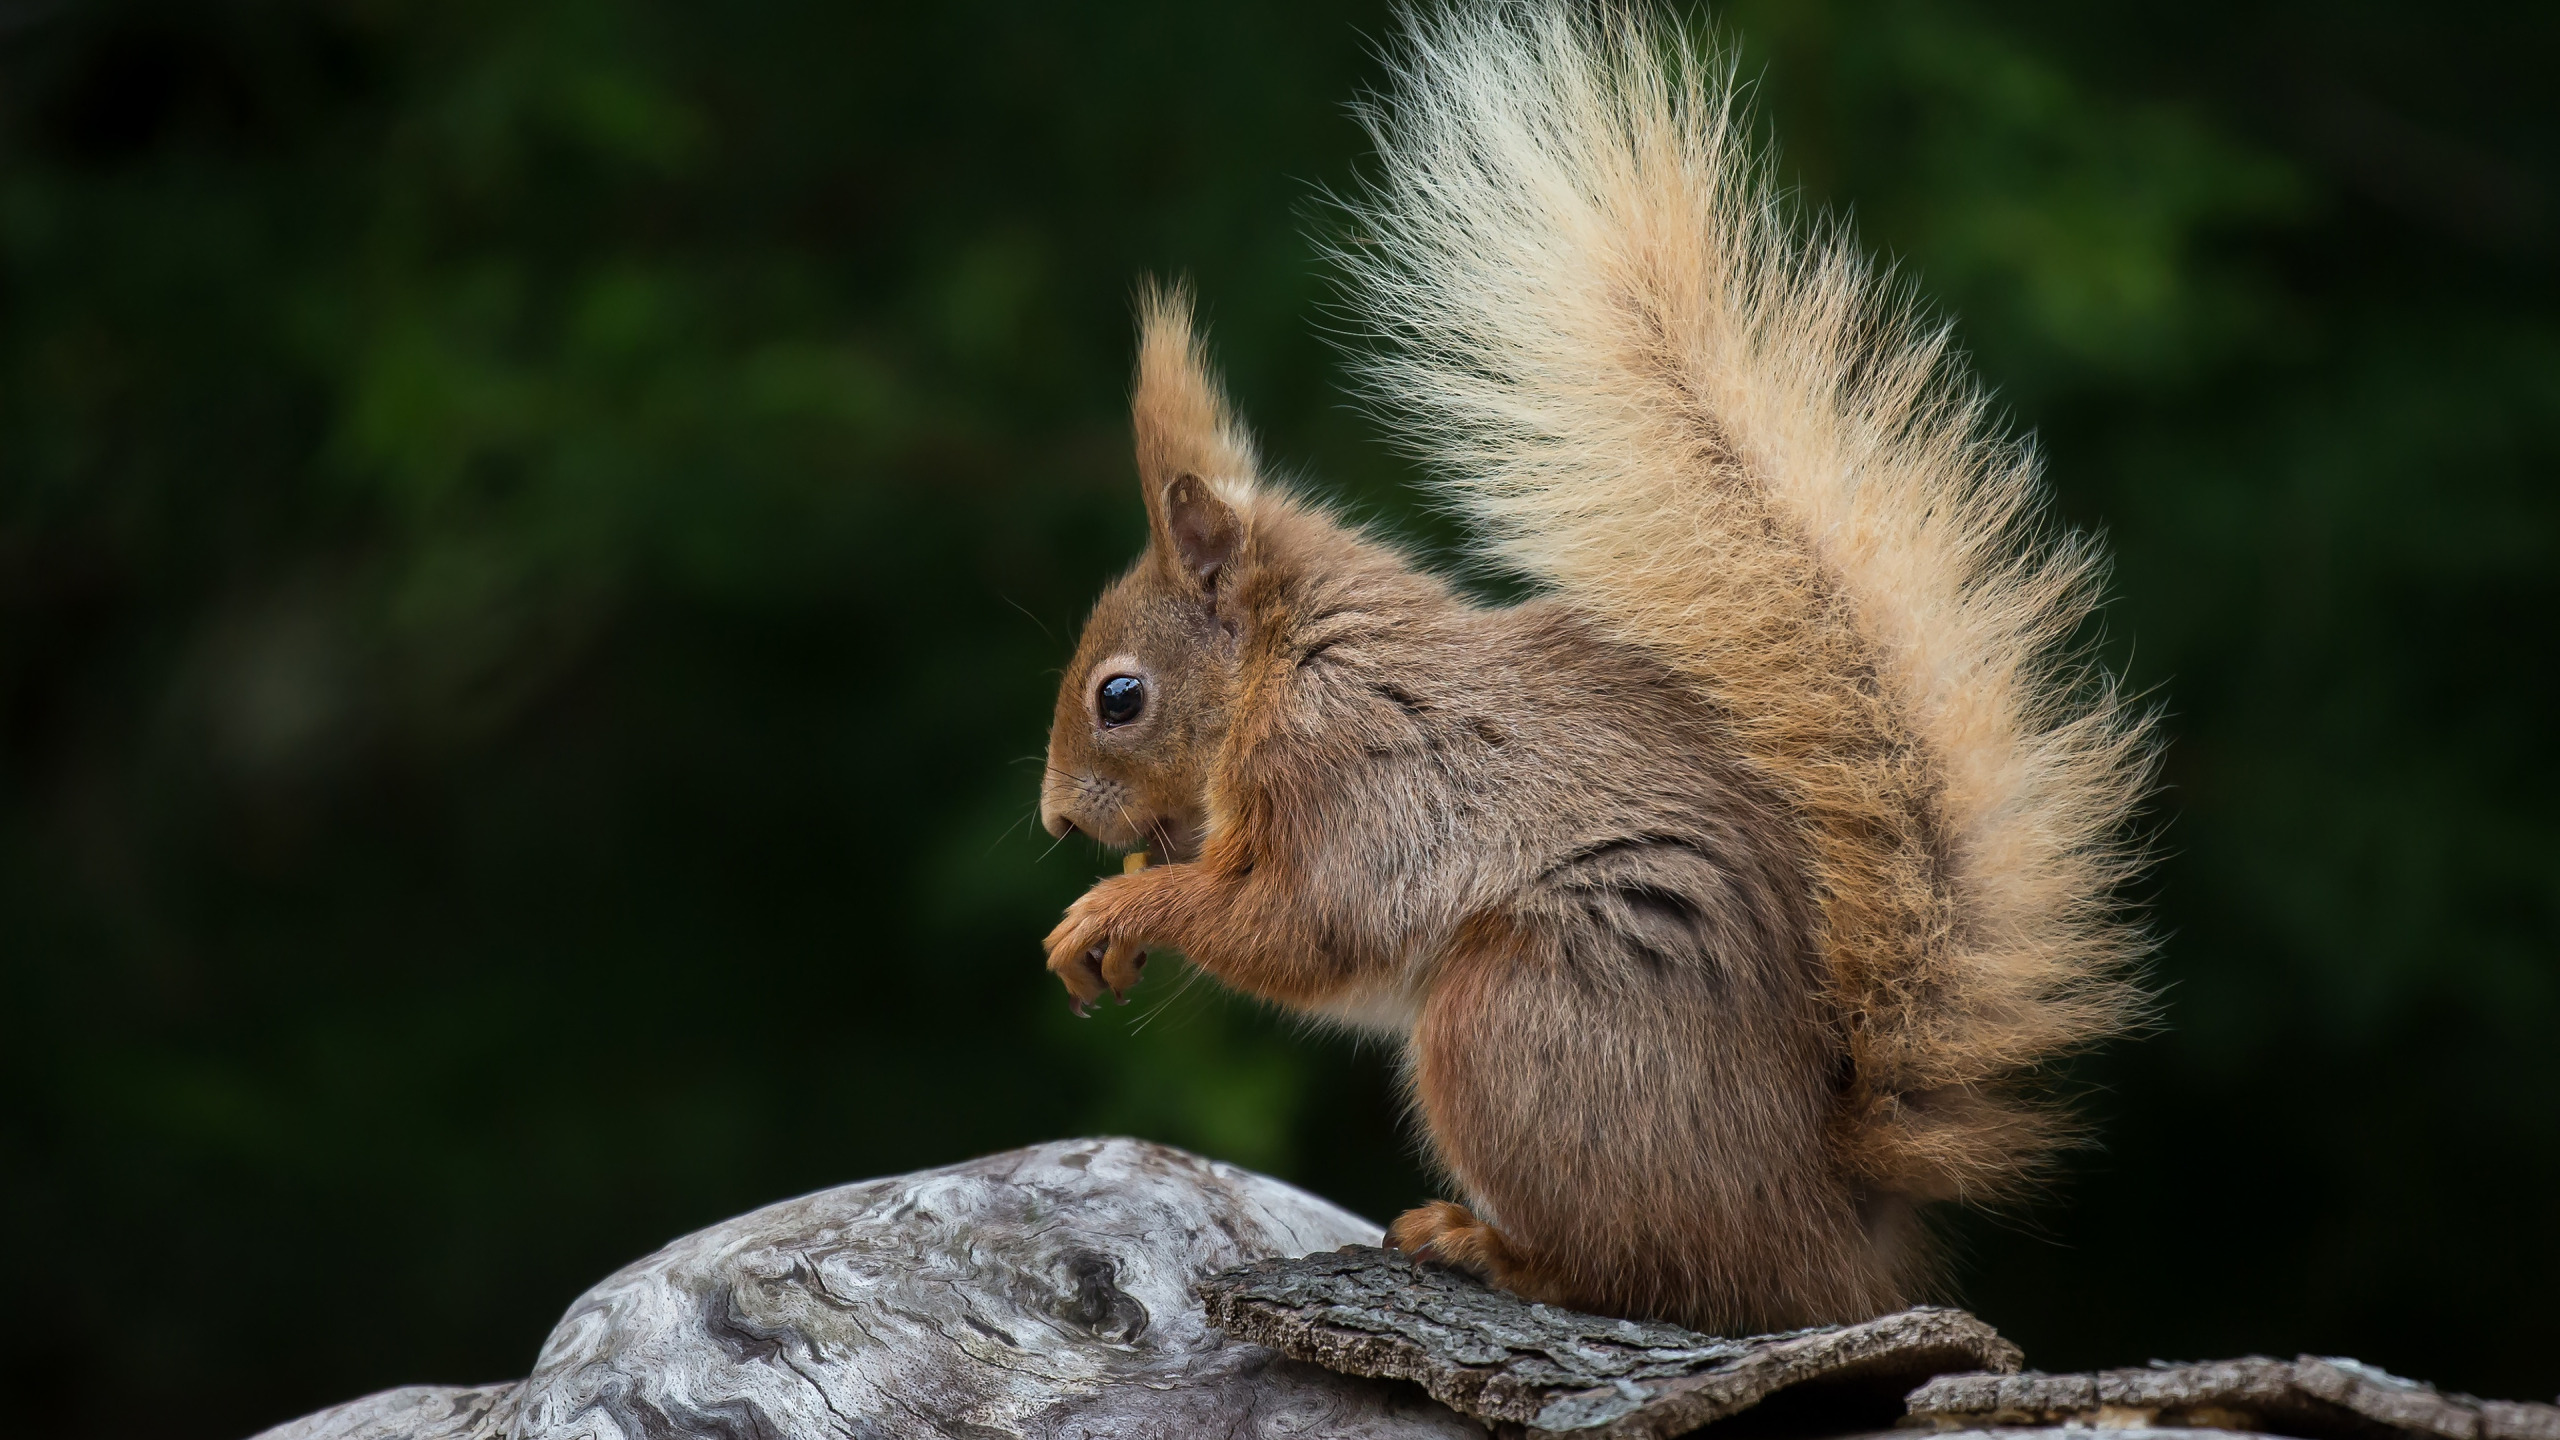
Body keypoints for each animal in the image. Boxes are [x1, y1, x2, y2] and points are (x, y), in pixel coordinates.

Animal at [1029, 0, 2150, 1332]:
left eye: (1120, 697)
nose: (1053, 821)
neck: (1288, 659)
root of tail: (1824, 1227)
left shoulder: (1352, 770)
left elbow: (1306, 928)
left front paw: (1114, 909)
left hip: (1518, 1022)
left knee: (1643, 1273)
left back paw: (1488, 1247)